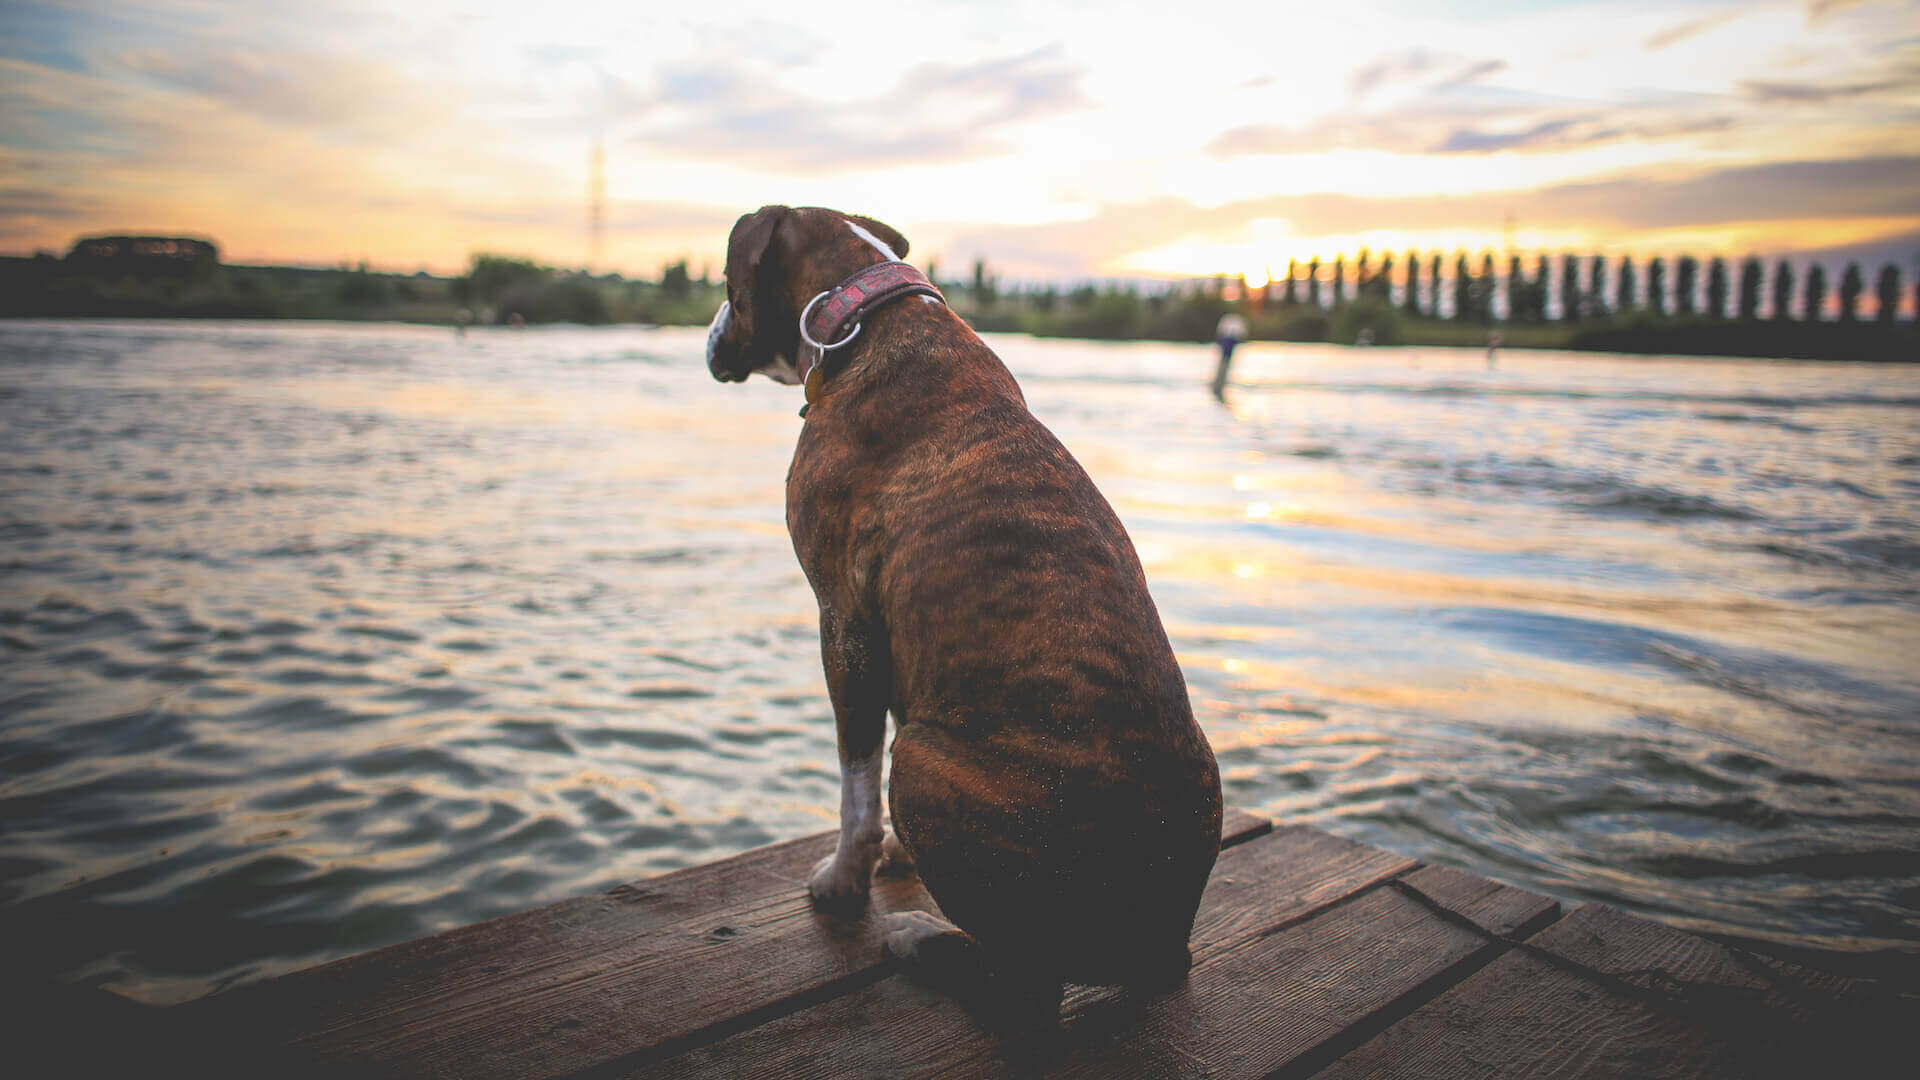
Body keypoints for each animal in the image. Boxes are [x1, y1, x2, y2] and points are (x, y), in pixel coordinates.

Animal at [710, 205, 1228, 1022]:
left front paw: (845, 878)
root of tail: (1159, 943)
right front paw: (896, 855)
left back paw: (918, 937)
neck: (865, 318)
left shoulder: (845, 624)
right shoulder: (896, 642)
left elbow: (855, 779)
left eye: (726, 282)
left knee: (1025, 987)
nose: (711, 334)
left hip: (922, 758)